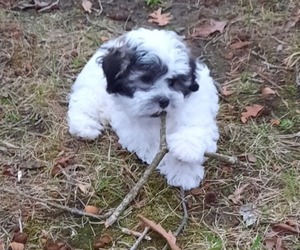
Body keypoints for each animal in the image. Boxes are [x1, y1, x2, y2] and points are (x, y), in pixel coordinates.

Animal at [67, 28, 218, 189]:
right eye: (146, 79)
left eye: (173, 82)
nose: (164, 100)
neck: (155, 119)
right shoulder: (137, 134)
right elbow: (158, 151)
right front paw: (181, 170)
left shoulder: (197, 107)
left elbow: (195, 127)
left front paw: (185, 154)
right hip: (93, 88)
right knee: (84, 101)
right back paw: (85, 127)